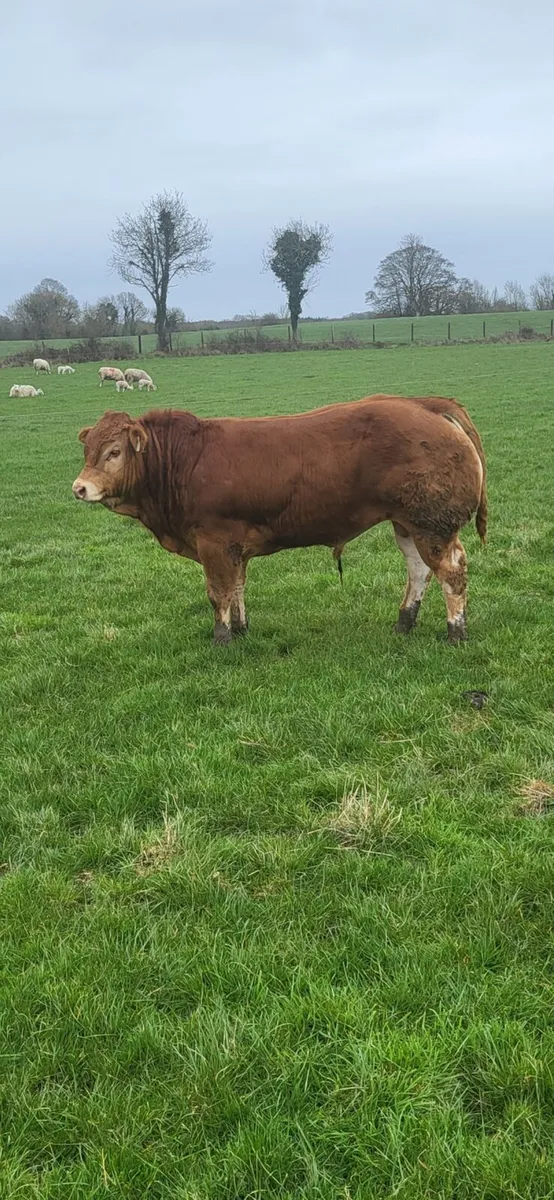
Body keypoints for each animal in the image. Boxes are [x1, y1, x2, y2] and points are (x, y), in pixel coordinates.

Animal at [72, 394, 487, 647]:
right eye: (88, 449)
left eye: (114, 452)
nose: (79, 488)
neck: (185, 460)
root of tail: (425, 404)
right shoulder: (233, 546)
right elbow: (237, 588)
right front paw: (240, 628)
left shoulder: (213, 542)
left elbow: (218, 592)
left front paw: (222, 638)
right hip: (408, 523)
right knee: (419, 570)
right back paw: (404, 621)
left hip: (432, 524)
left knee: (452, 571)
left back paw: (456, 631)